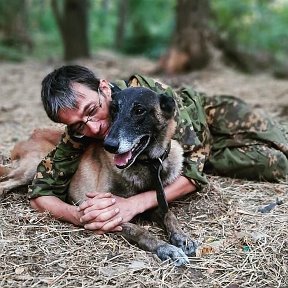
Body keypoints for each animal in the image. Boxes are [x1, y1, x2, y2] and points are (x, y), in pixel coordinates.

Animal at [0, 87, 196, 266]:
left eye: (139, 110)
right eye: (113, 110)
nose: (109, 145)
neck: (147, 164)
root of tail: (33, 134)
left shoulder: (154, 202)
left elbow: (169, 215)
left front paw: (182, 237)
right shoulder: (109, 216)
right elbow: (140, 231)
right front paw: (166, 248)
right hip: (31, 170)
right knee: (7, 182)